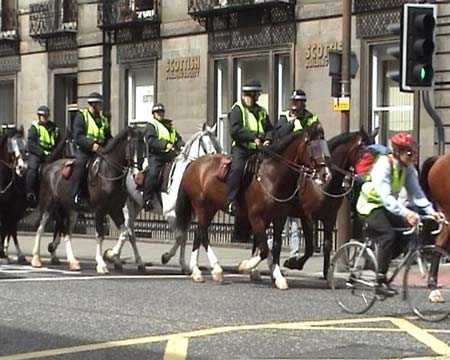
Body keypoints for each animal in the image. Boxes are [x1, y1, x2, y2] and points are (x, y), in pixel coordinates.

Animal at [30, 126, 138, 272]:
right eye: (132, 147)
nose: (138, 174)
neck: (109, 172)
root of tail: (48, 166)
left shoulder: (115, 209)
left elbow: (125, 233)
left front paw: (111, 254)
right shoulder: (99, 210)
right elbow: (99, 235)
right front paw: (101, 263)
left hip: (69, 210)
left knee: (66, 232)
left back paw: (72, 261)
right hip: (47, 205)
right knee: (41, 228)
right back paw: (36, 259)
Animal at [101, 124, 222, 272]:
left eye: (217, 144)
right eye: (207, 145)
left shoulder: (187, 215)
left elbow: (184, 238)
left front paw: (183, 265)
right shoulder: (172, 214)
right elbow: (179, 236)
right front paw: (166, 257)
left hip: (136, 206)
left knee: (130, 232)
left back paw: (132, 262)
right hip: (127, 207)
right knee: (128, 232)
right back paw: (114, 255)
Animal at [171, 125, 326, 288]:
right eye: (311, 145)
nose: (324, 173)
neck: (272, 176)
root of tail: (194, 164)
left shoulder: (278, 218)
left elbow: (273, 247)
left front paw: (276, 276)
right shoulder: (256, 217)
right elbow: (264, 249)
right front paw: (246, 266)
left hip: (211, 208)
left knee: (198, 234)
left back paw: (196, 272)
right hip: (201, 206)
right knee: (203, 234)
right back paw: (216, 269)